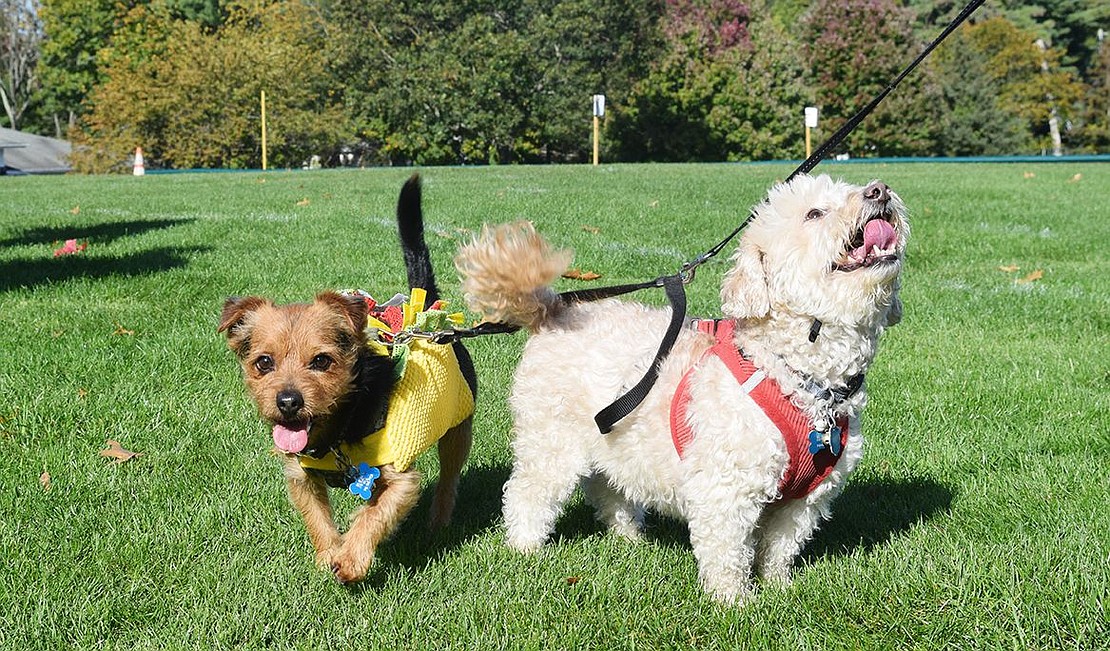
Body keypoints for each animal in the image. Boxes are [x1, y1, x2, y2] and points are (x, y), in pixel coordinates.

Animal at [218, 174, 475, 582]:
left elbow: (373, 515)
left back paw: (438, 522)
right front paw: (328, 553)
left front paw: (352, 558)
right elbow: (316, 517)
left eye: (322, 361)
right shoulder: (300, 476)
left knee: (450, 477)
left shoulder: (400, 479)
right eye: (263, 363)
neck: (337, 429)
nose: (288, 401)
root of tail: (429, 314)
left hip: (458, 428)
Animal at [452, 173, 910, 604]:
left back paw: (630, 538)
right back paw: (525, 547)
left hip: (615, 441)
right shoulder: (726, 488)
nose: (879, 190)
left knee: (608, 486)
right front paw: (734, 602)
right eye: (815, 213)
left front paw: (778, 588)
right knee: (528, 493)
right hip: (551, 439)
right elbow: (727, 551)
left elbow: (781, 547)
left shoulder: (807, 499)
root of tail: (552, 311)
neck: (796, 375)